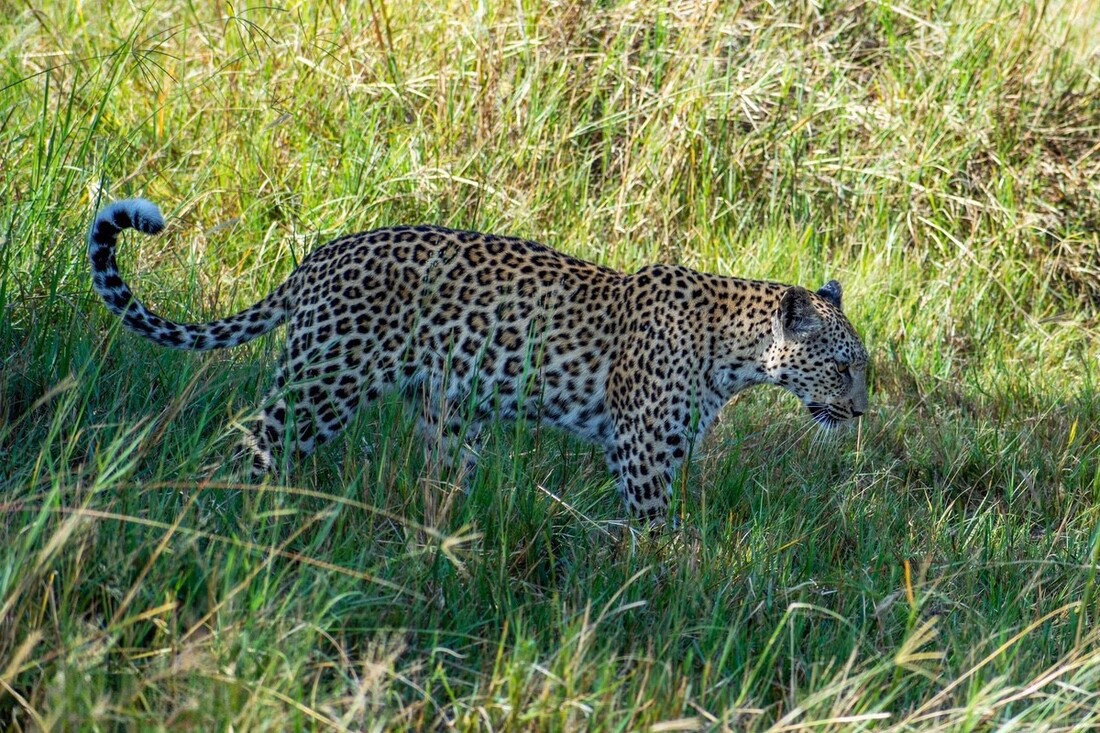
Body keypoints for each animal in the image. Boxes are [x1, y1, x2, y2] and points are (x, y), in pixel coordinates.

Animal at [88, 197, 869, 522]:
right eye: (840, 366)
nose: (861, 411)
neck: (735, 352)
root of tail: (317, 257)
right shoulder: (643, 453)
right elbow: (657, 533)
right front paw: (665, 591)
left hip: (446, 416)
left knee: (439, 485)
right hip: (322, 386)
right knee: (251, 446)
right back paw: (235, 522)